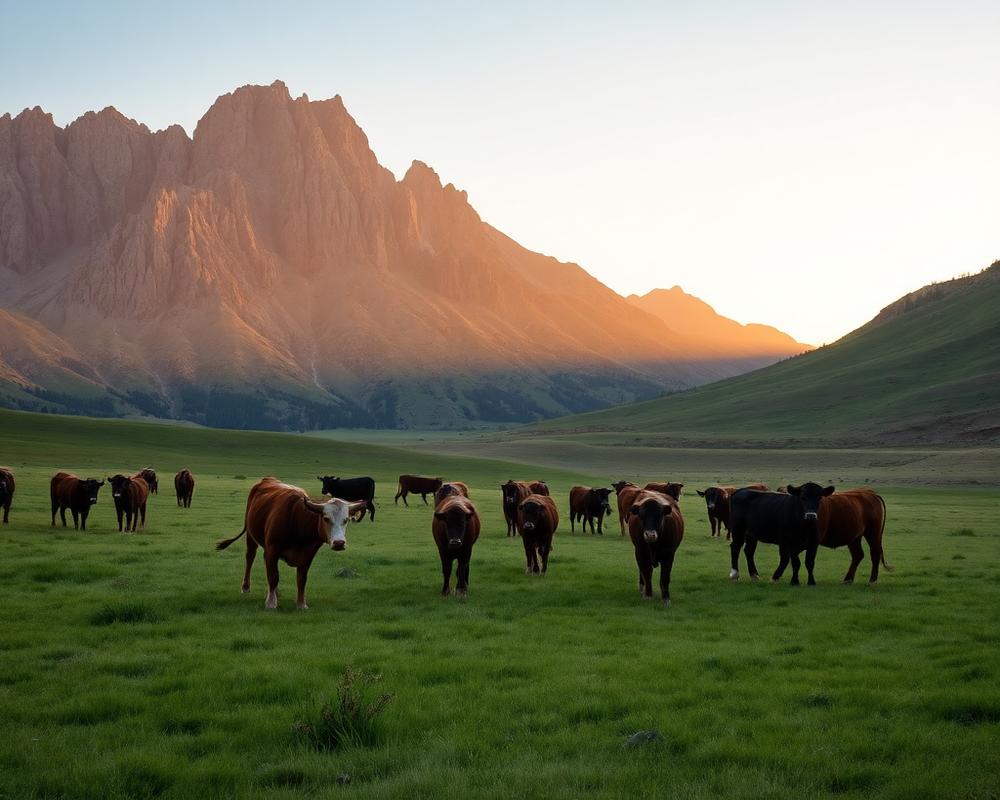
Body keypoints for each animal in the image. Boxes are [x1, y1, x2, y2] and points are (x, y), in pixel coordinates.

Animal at [216, 477, 367, 610]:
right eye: (326, 518)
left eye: (346, 519)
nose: (339, 543)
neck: (297, 521)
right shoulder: (273, 550)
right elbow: (274, 576)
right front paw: (271, 603)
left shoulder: (307, 555)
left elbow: (301, 579)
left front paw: (301, 604)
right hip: (251, 536)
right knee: (250, 557)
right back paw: (246, 587)